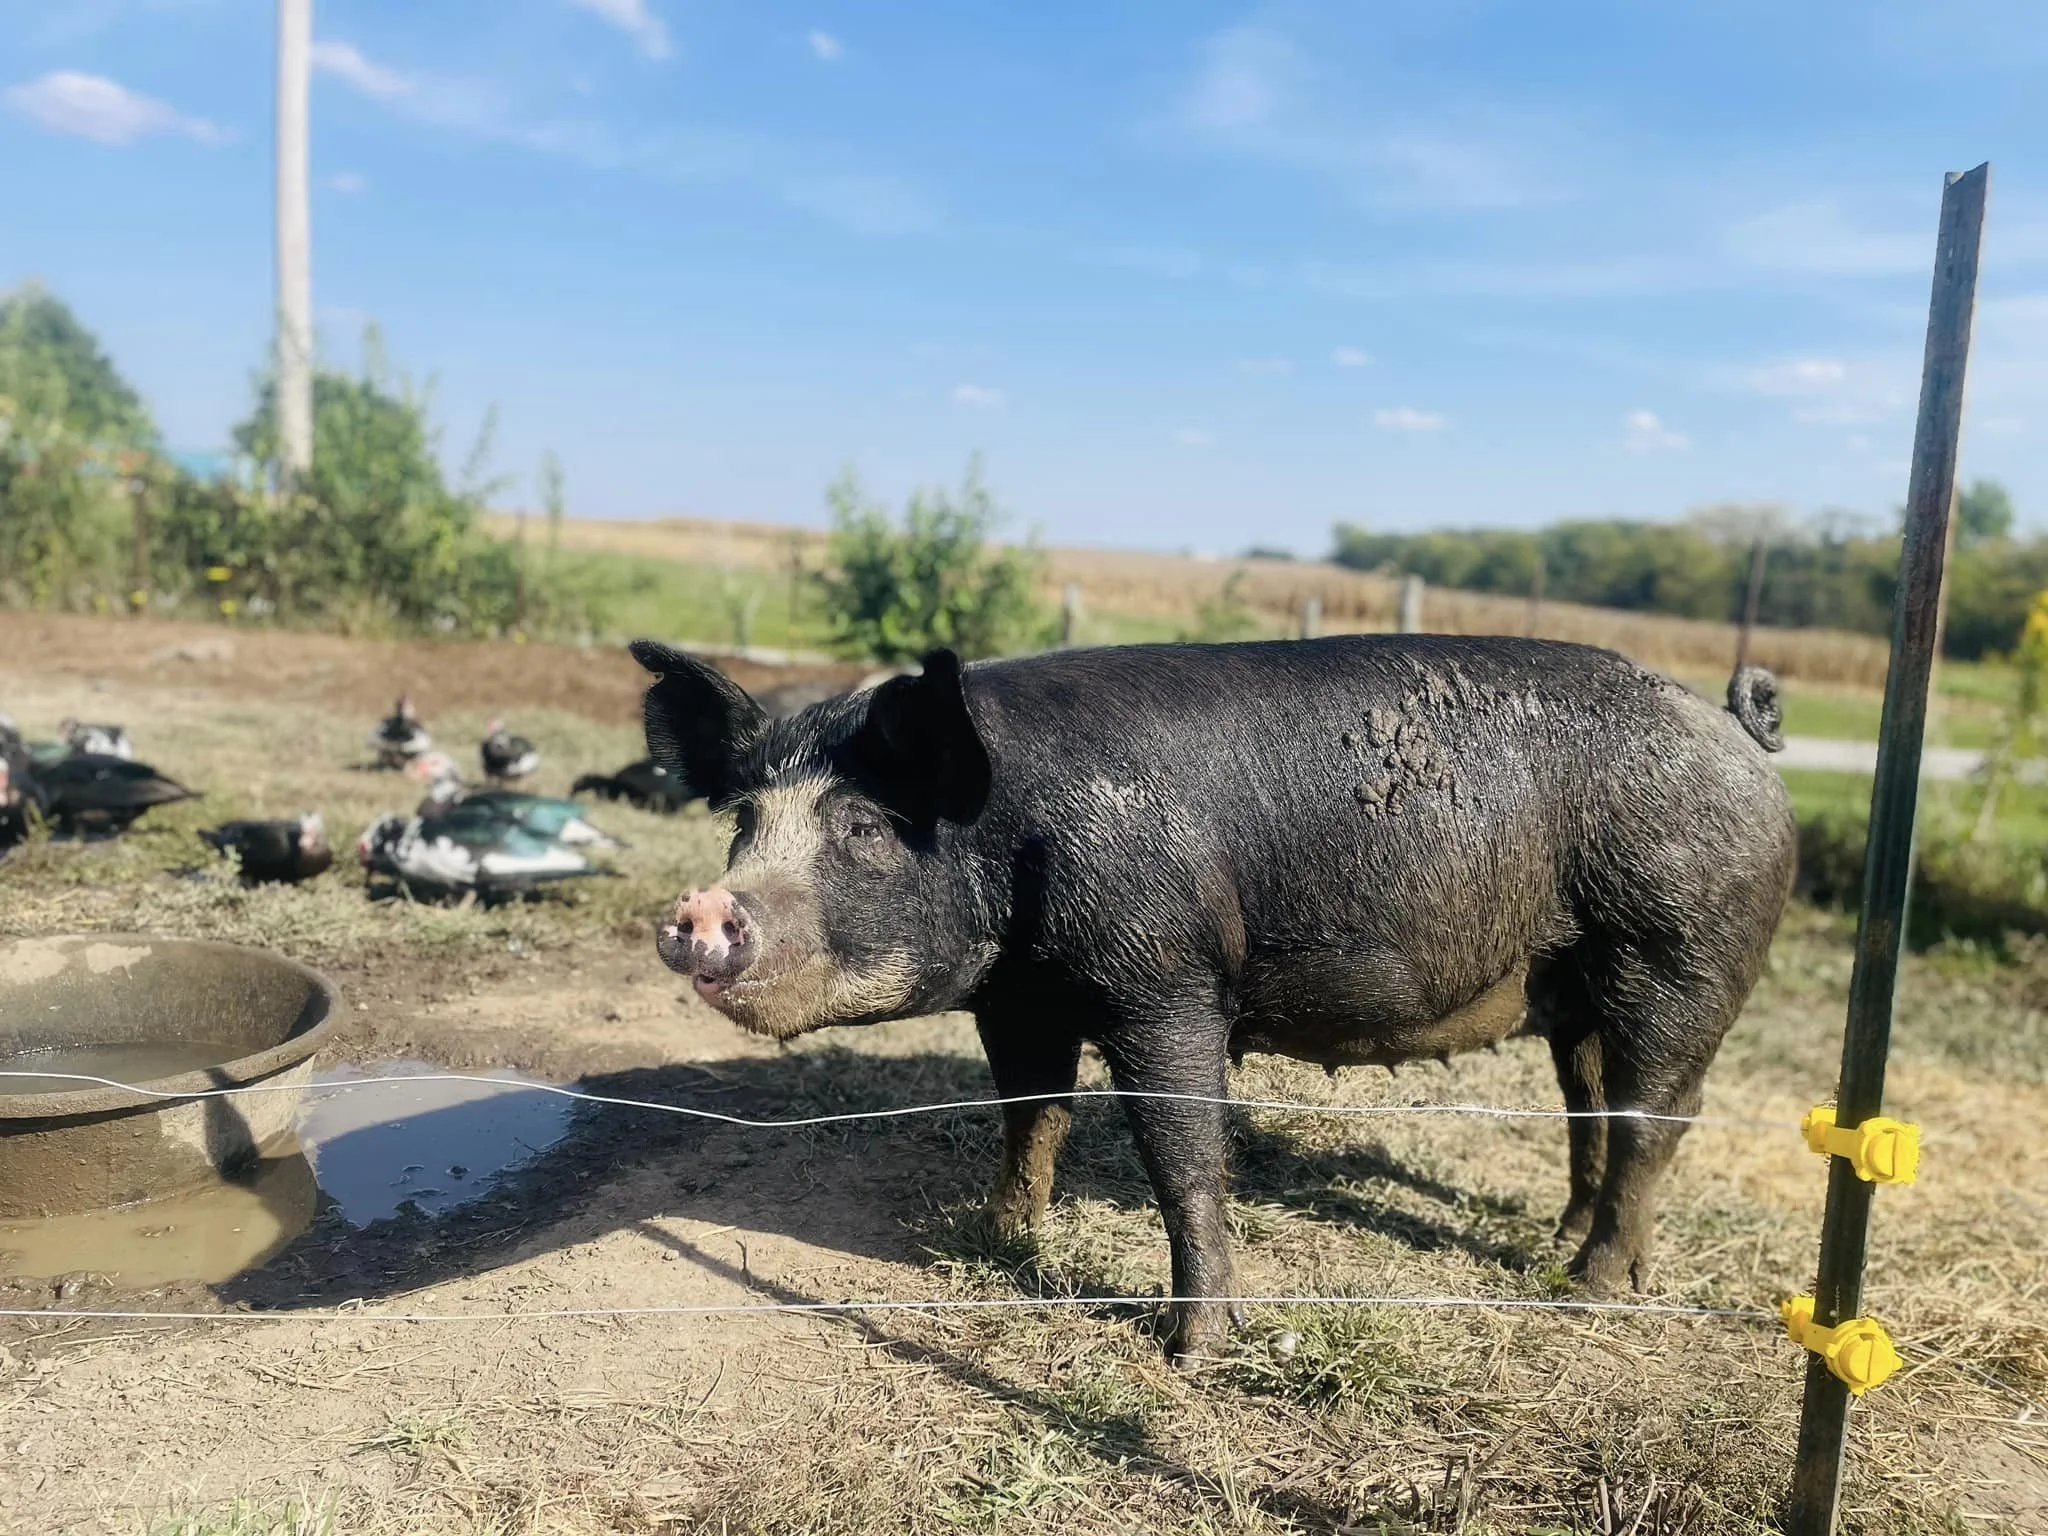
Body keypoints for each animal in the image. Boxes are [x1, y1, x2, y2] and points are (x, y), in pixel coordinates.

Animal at [632, 634, 1797, 1360]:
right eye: (744, 822)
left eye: (865, 827)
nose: (700, 910)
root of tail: (1736, 731)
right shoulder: (1020, 999)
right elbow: (1029, 1113)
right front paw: (996, 1240)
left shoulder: (1167, 979)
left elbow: (1180, 1152)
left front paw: (1190, 1349)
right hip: (1583, 977)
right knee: (1589, 1100)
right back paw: (1561, 1249)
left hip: (1680, 941)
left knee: (1655, 1112)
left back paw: (1588, 1290)